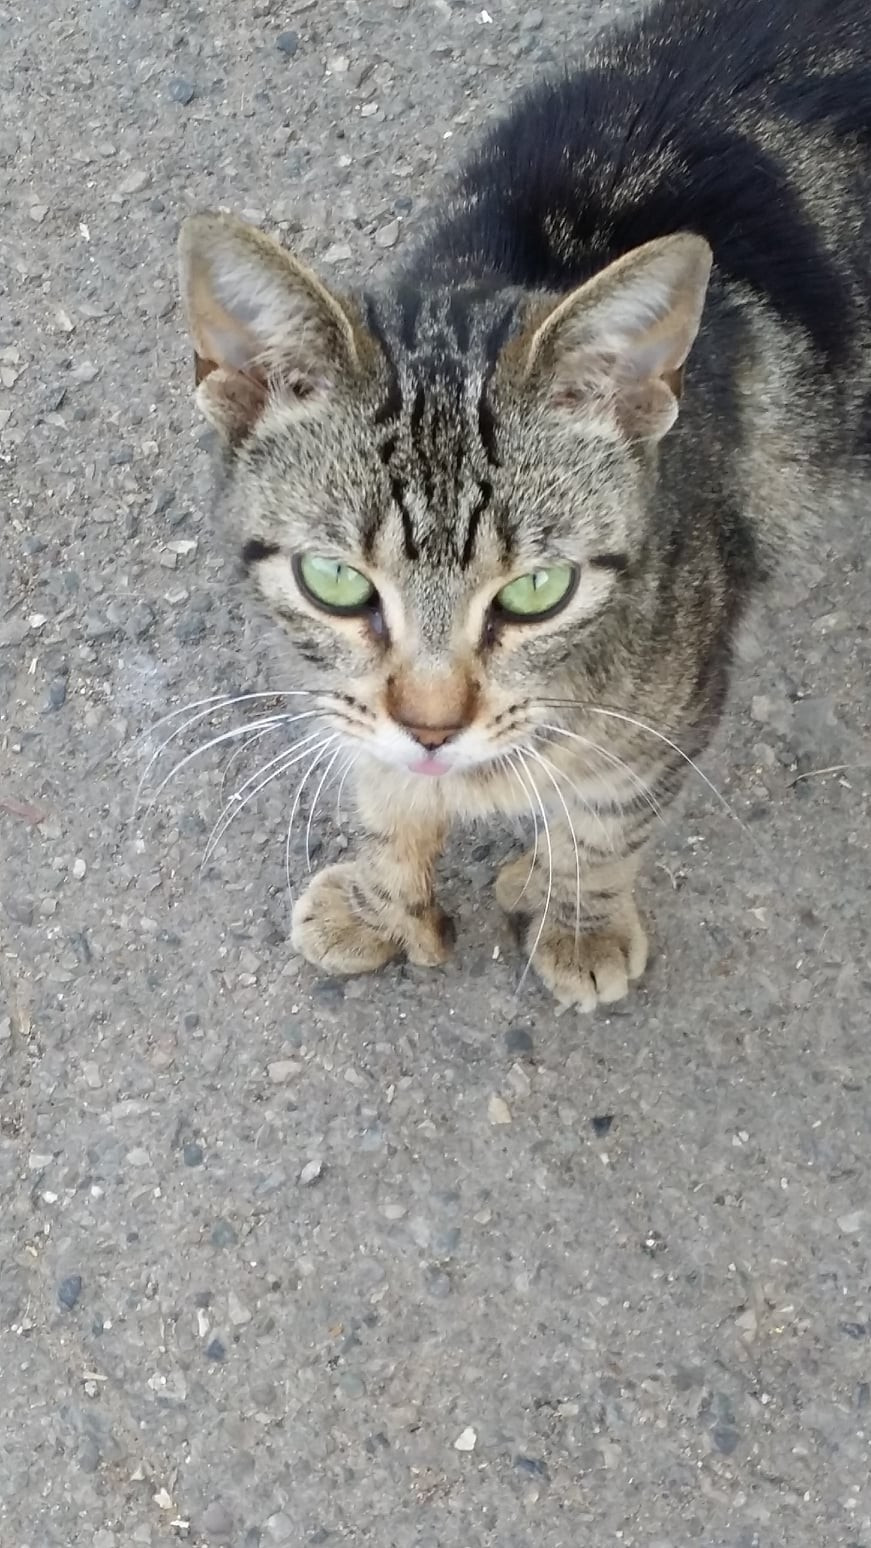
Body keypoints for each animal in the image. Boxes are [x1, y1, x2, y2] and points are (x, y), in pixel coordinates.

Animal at [177, 0, 871, 1010]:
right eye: (335, 583)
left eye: (537, 592)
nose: (431, 727)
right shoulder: (352, 708)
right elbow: (383, 789)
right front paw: (382, 901)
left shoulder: (671, 719)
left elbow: (604, 825)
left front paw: (575, 918)